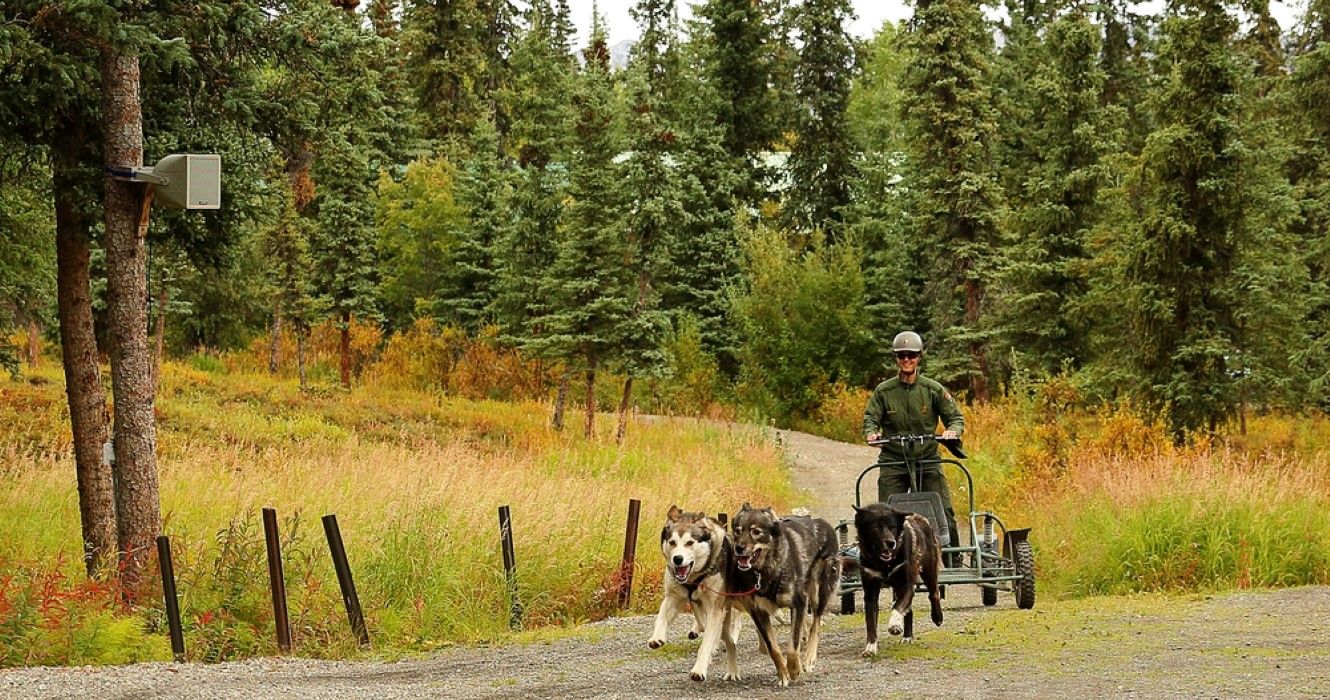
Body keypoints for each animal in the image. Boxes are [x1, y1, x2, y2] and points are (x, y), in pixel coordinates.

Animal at [649, 508, 744, 681]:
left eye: (690, 543)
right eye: (672, 542)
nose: (677, 559)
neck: (694, 577)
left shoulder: (715, 609)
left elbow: (706, 644)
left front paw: (699, 670)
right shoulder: (673, 597)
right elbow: (661, 617)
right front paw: (657, 637)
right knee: (729, 641)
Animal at [851, 505, 946, 660]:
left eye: (893, 528)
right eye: (876, 528)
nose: (891, 543)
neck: (884, 564)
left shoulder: (907, 585)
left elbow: (897, 607)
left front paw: (894, 624)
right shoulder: (871, 591)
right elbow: (871, 623)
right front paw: (871, 647)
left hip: (928, 571)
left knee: (934, 593)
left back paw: (937, 616)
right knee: (909, 609)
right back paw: (907, 636)